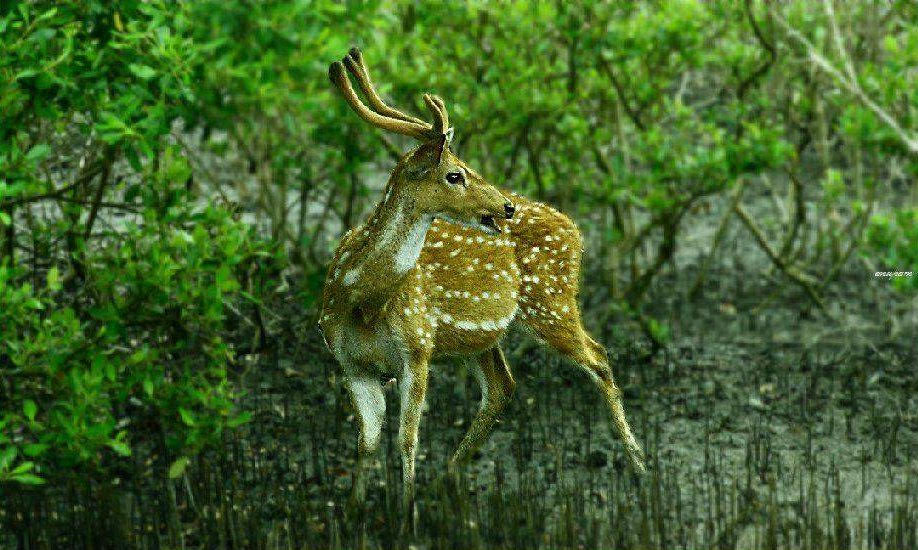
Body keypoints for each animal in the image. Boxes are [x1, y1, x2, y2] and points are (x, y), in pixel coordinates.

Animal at [319, 48, 646, 513]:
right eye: (455, 174)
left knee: (598, 358)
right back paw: (449, 478)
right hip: (482, 336)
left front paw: (407, 513)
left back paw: (640, 468)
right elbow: (367, 441)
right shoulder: (348, 361)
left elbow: (406, 439)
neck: (362, 301)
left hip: (551, 302)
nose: (505, 206)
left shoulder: (417, 347)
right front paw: (354, 511)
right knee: (502, 388)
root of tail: (575, 230)